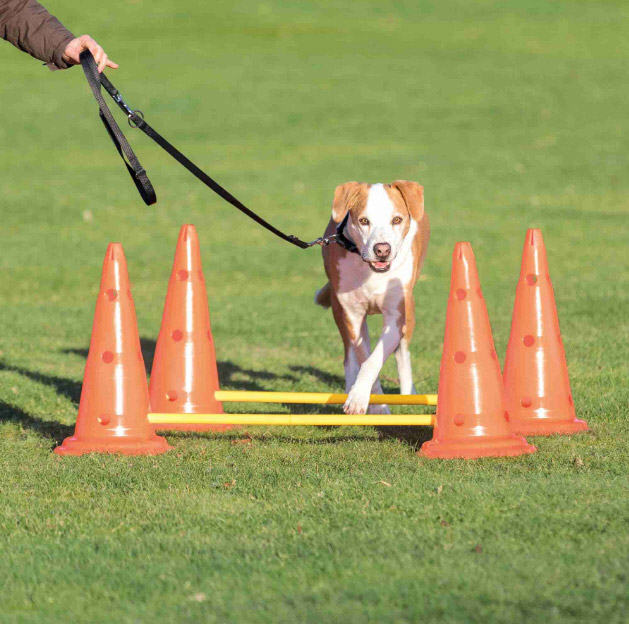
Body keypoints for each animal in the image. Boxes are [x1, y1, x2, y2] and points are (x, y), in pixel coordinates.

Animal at [314, 180, 426, 414]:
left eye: (397, 219)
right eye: (364, 221)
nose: (382, 250)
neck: (371, 272)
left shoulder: (396, 316)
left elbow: (374, 359)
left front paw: (366, 400)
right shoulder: (352, 314)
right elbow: (363, 356)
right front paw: (370, 403)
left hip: (409, 310)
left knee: (403, 351)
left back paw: (408, 393)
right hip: (340, 311)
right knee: (349, 353)